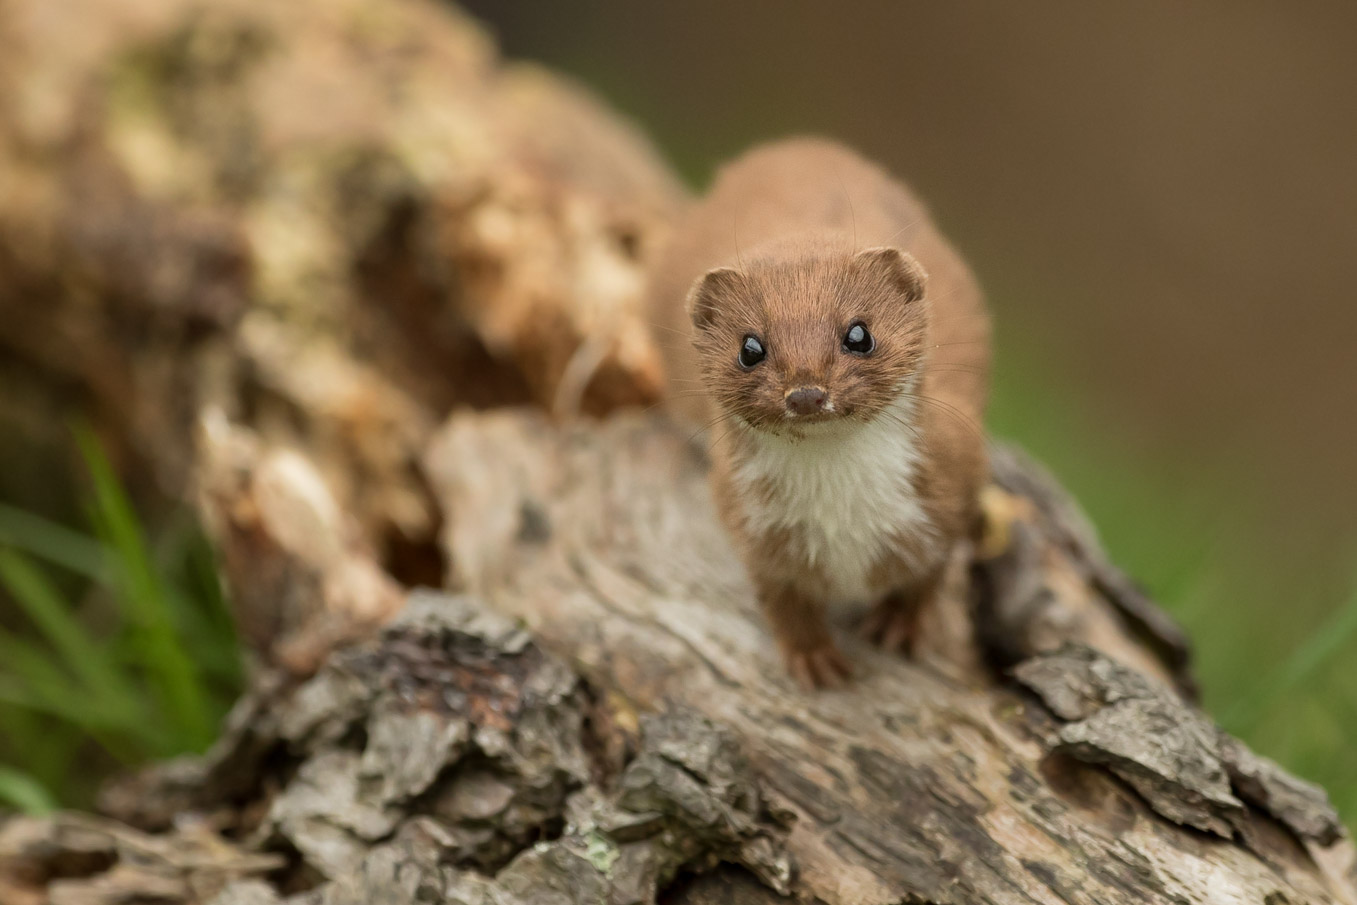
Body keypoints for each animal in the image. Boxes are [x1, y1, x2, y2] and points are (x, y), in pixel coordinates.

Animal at [651, 136, 993, 686]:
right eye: (750, 347)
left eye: (859, 333)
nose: (807, 392)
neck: (841, 511)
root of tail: (794, 146)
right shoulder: (751, 524)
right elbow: (780, 599)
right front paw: (814, 659)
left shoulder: (954, 481)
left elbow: (930, 575)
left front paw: (900, 625)